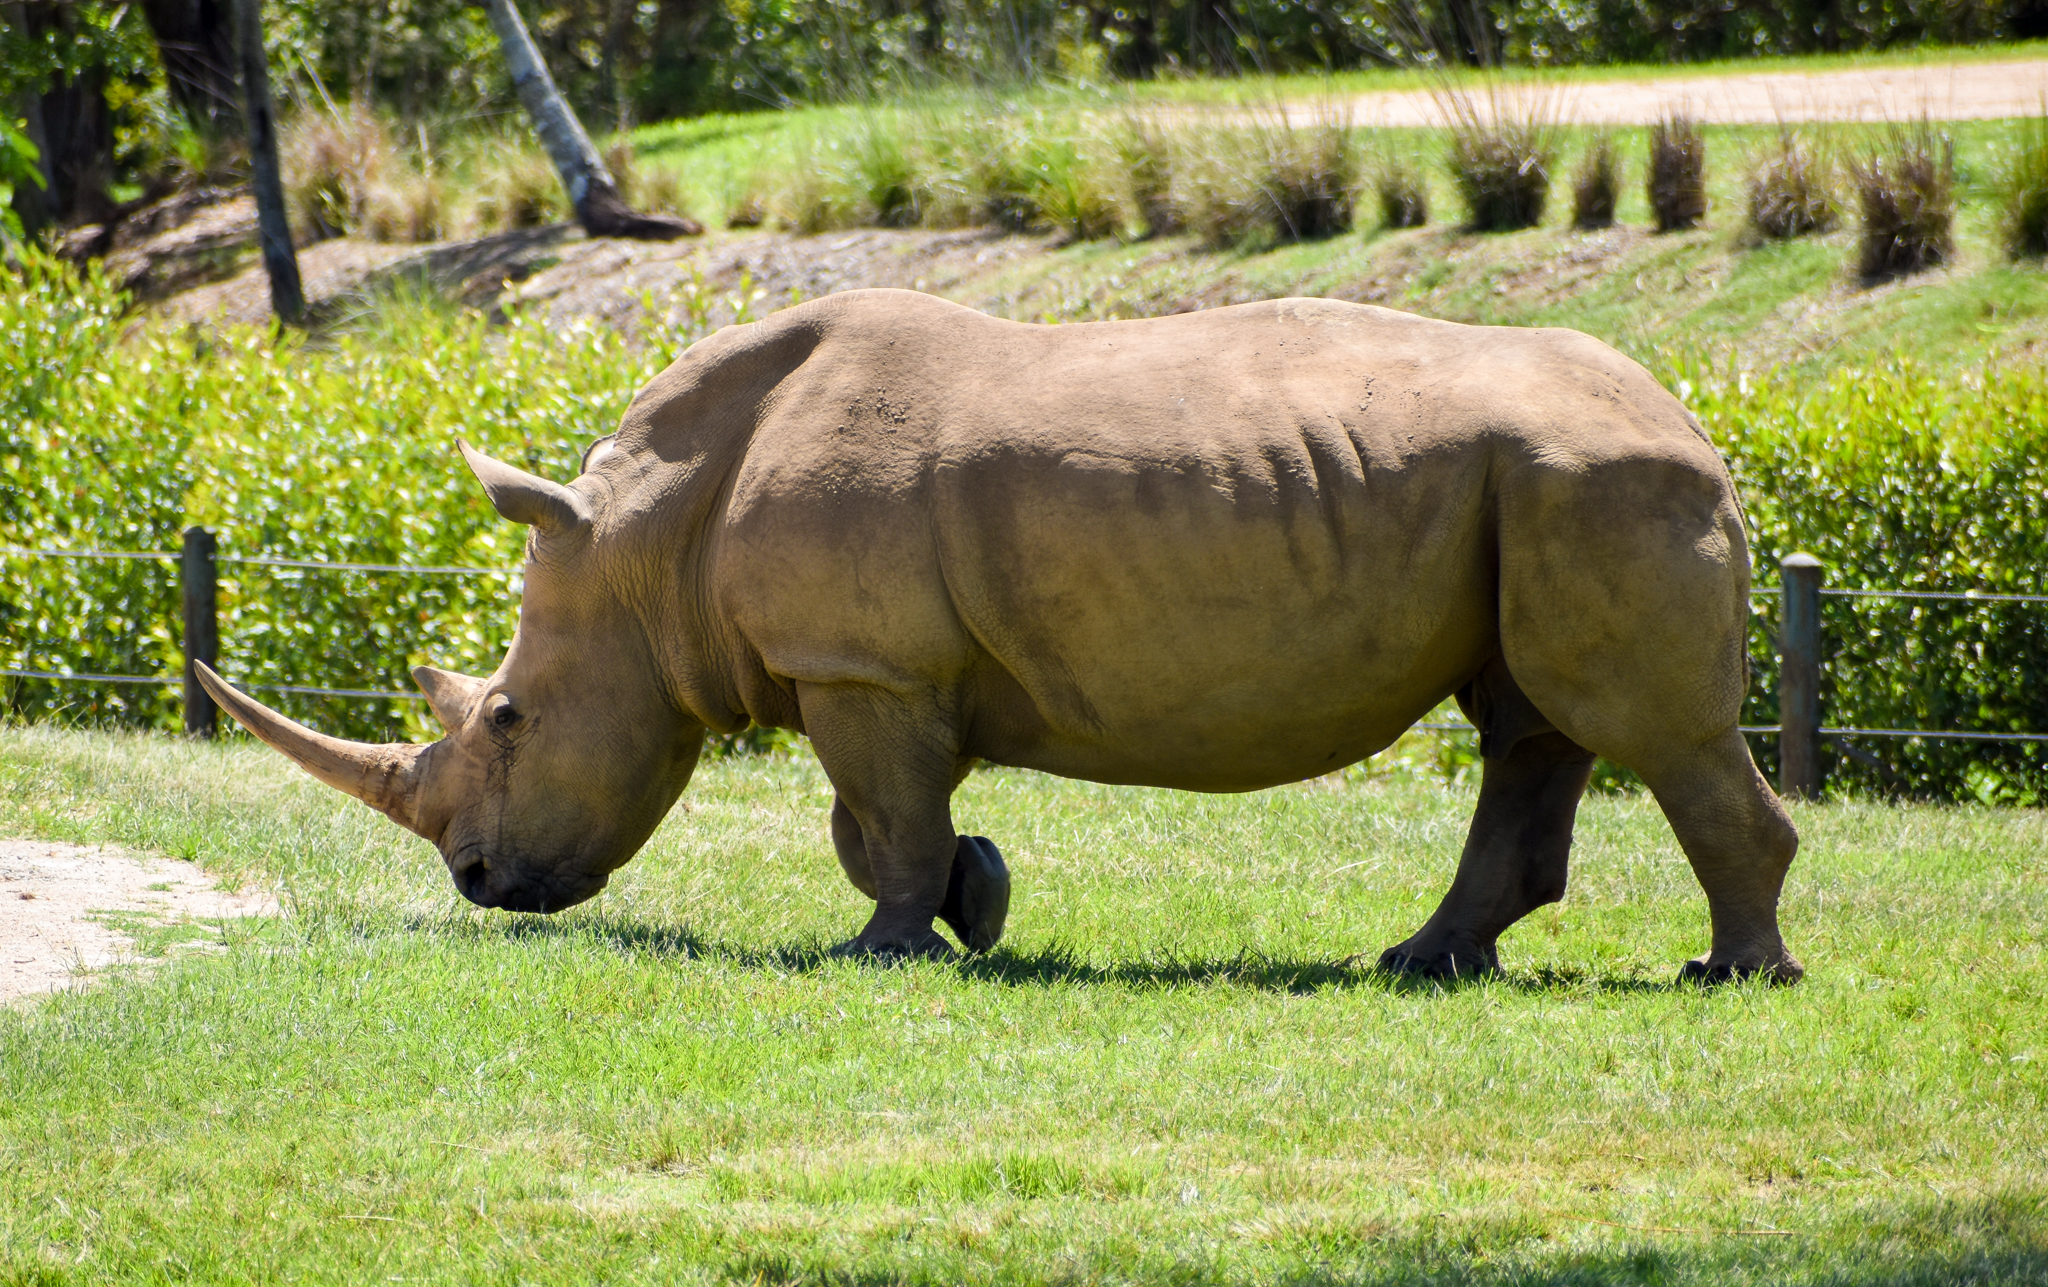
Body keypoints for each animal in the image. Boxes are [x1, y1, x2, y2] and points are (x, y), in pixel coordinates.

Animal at [198, 289, 1803, 983]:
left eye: (511, 718)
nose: (479, 885)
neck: (647, 540)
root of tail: (1705, 424)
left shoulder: (862, 665)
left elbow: (884, 819)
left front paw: (887, 947)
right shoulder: (873, 665)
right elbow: (878, 817)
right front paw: (980, 902)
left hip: (1599, 485)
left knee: (1643, 728)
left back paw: (1729, 977)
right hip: (1538, 488)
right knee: (1529, 721)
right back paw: (1419, 963)